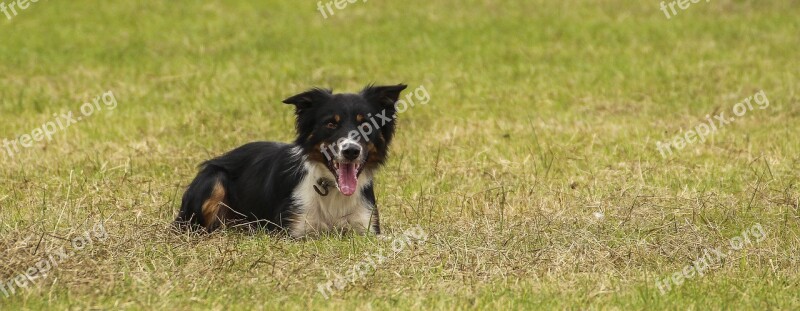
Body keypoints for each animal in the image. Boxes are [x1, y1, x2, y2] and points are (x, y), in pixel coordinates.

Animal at [177, 84, 410, 238]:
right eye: (331, 124)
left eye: (366, 124)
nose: (351, 151)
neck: (332, 189)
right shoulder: (295, 230)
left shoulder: (366, 227)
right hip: (213, 180)